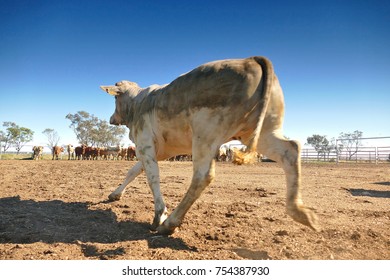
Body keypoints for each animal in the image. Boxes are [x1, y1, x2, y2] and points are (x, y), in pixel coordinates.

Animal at [102, 55, 318, 235]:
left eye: (115, 97)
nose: (111, 118)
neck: (138, 103)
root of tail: (250, 60)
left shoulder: (145, 144)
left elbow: (152, 177)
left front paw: (159, 215)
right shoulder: (158, 151)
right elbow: (133, 171)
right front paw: (115, 194)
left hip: (205, 135)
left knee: (202, 176)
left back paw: (169, 223)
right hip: (262, 132)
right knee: (291, 150)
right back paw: (301, 213)